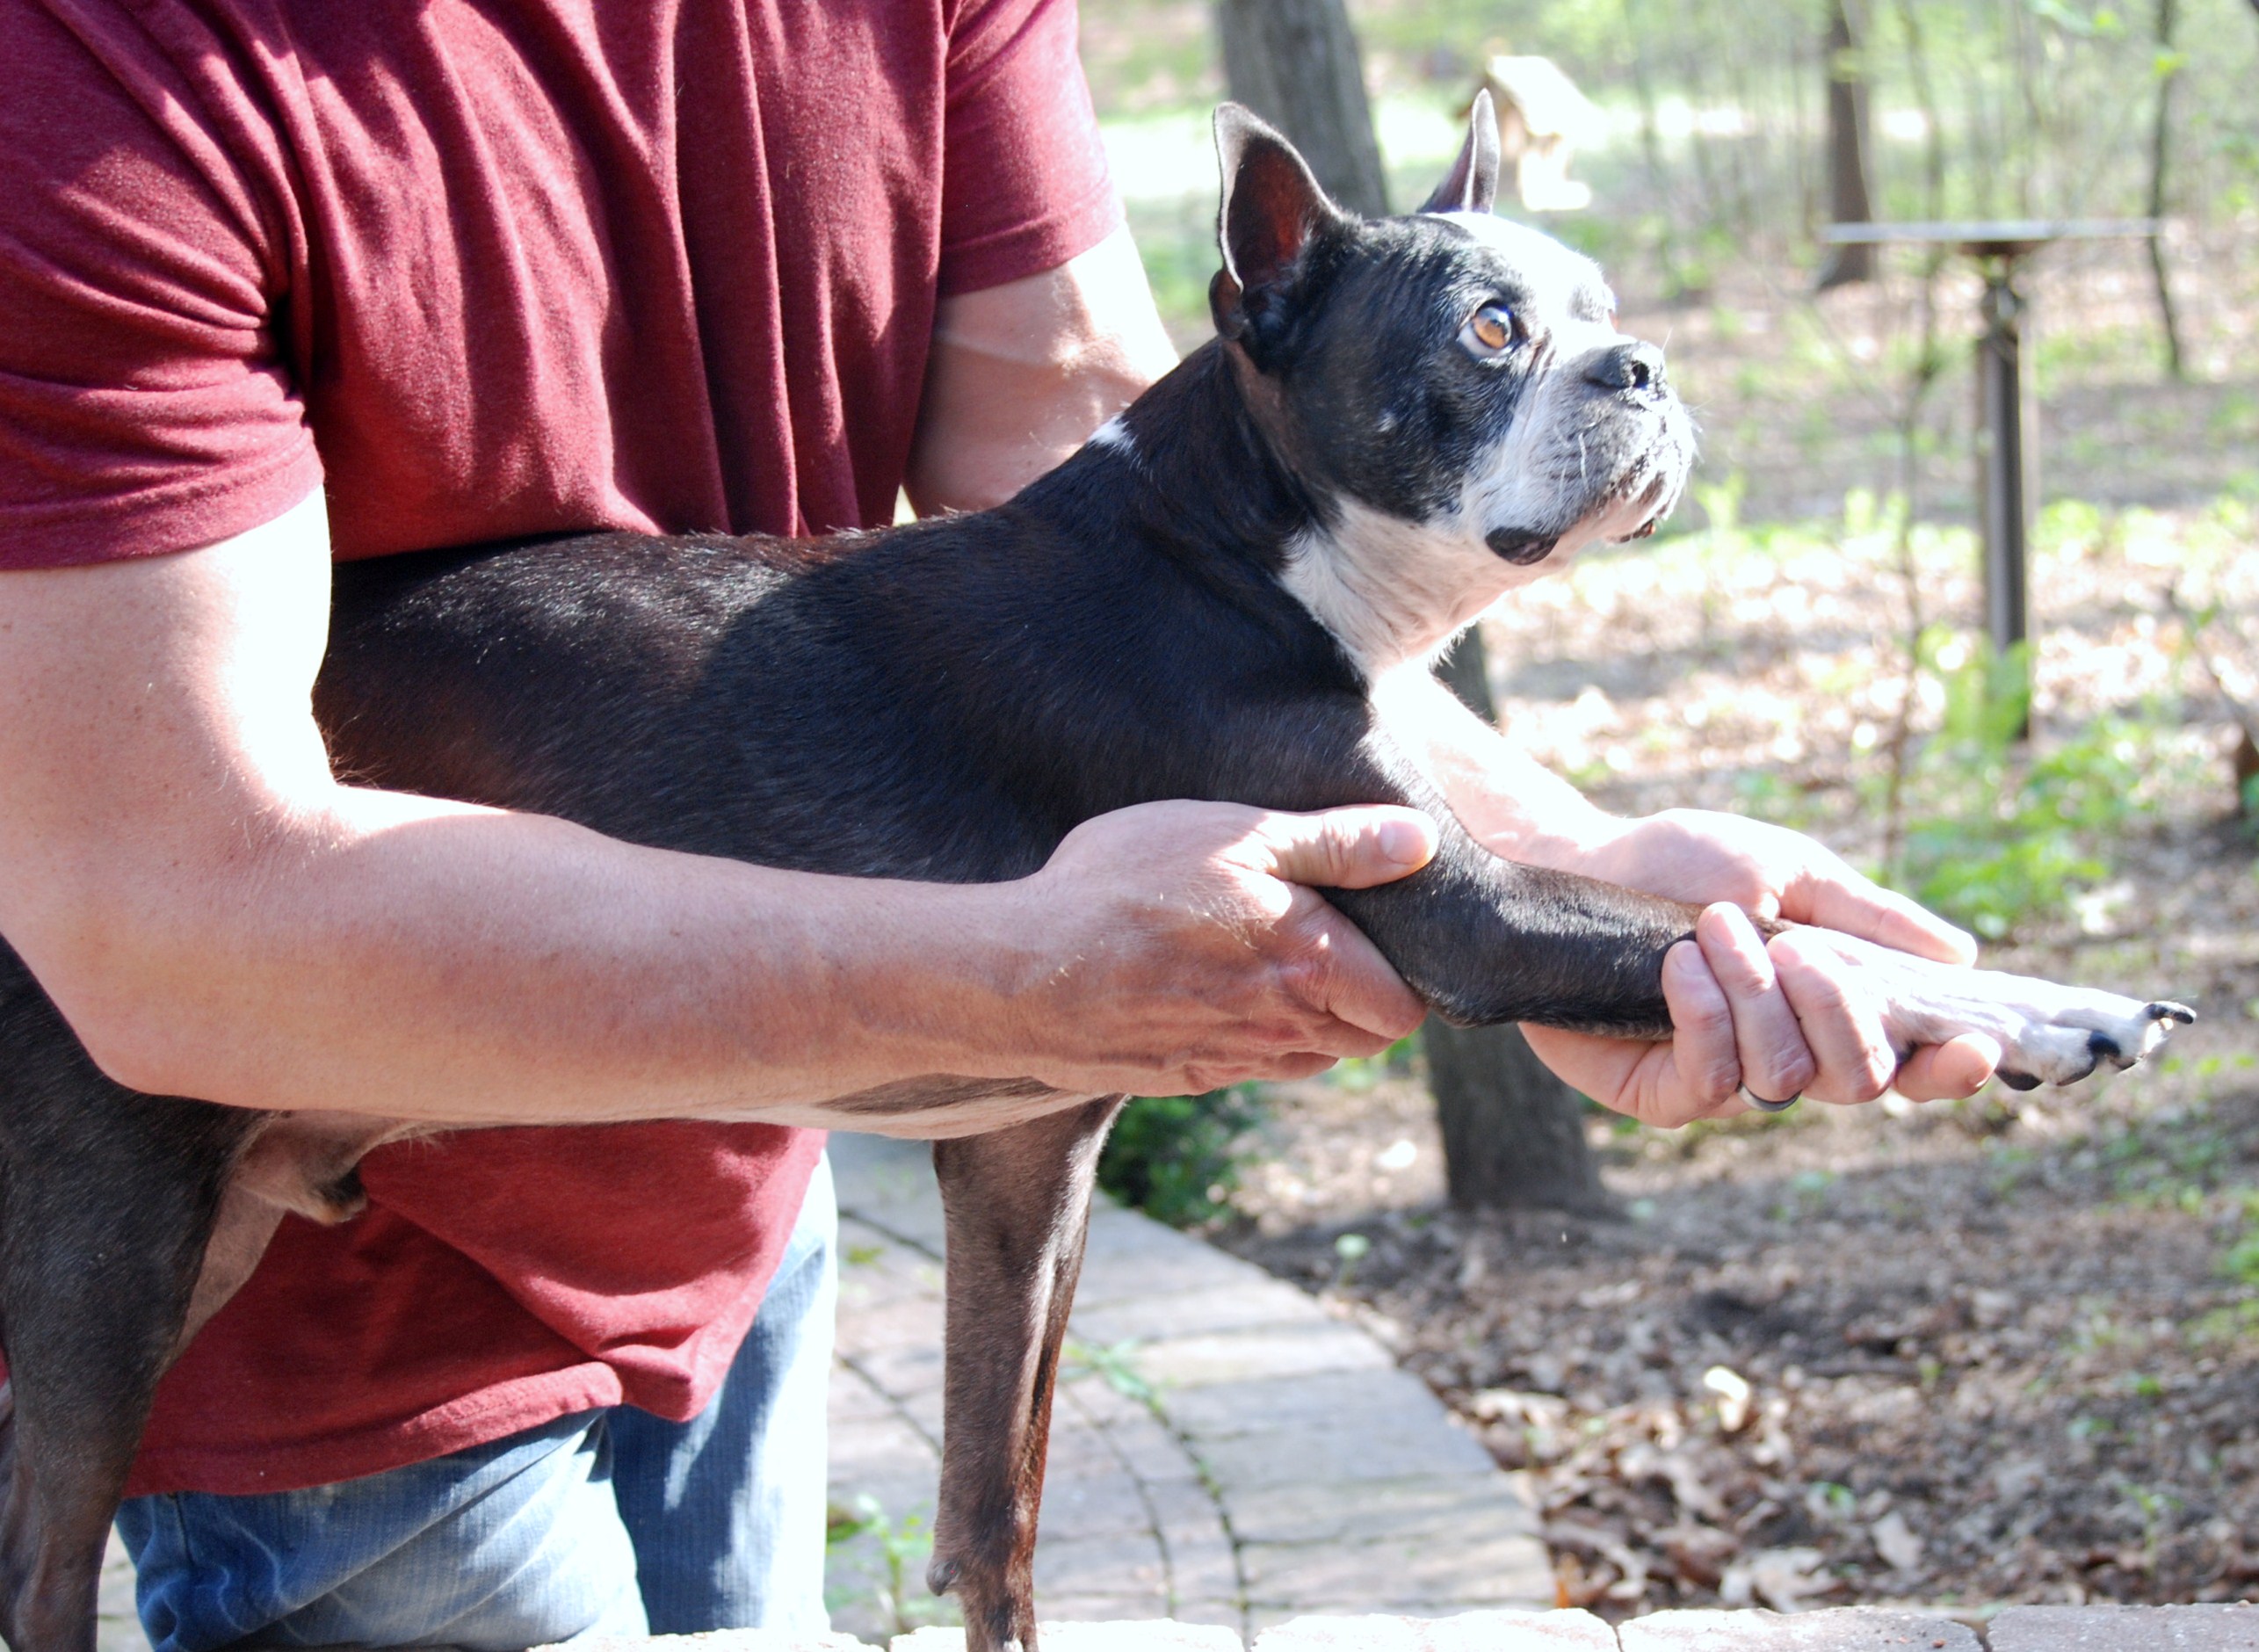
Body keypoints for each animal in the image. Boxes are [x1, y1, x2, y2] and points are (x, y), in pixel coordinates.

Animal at [0, 103, 2186, 1652]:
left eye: (1593, 293)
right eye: (1489, 329)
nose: (1636, 363)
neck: (1245, 544)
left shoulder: (1022, 1158)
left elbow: (997, 1520)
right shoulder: (1458, 913)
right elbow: (1730, 931)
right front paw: (2036, 1003)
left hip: (217, 1218)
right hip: (104, 1252)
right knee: (47, 1561)